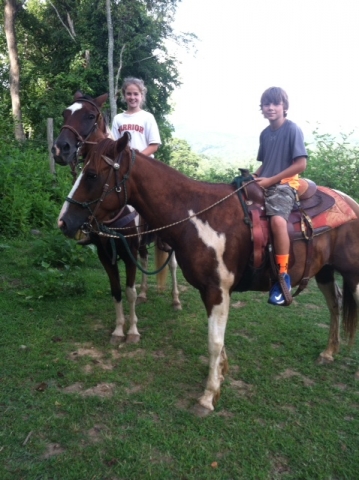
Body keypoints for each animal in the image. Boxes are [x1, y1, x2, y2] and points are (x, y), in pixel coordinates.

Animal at [57, 131, 359, 412]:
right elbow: (218, 340)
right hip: (325, 271)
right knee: (335, 304)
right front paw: (221, 374)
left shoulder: (217, 290)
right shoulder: (211, 292)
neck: (196, 216)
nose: (64, 221)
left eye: (92, 175)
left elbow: (213, 341)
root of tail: (351, 204)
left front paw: (207, 396)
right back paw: (329, 352)